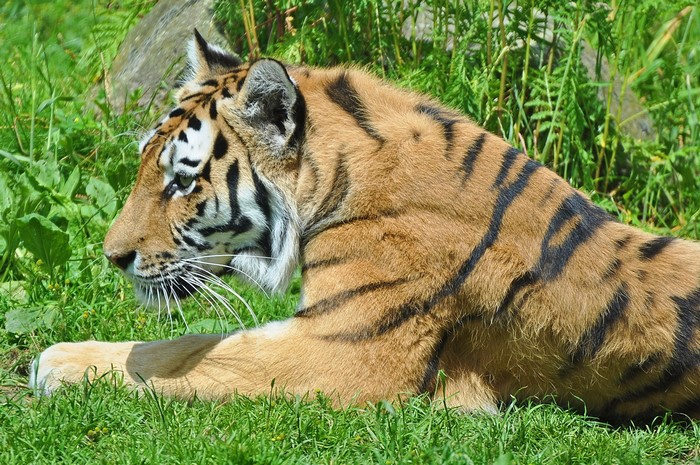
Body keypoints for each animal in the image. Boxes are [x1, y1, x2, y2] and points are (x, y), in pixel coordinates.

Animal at [30, 31, 700, 423]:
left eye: (183, 182)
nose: (112, 257)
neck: (340, 175)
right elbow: (189, 344)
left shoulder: (344, 354)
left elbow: (186, 358)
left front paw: (58, 363)